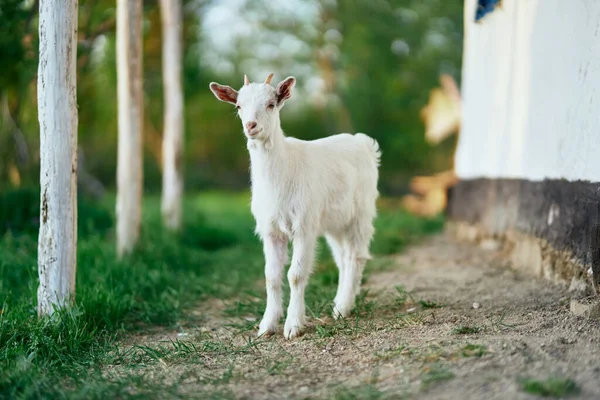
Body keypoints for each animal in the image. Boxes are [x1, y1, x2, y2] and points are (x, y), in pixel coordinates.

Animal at [210, 73, 380, 340]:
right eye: (238, 106)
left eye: (271, 104)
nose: (251, 126)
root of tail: (363, 143)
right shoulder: (270, 230)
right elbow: (271, 276)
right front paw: (267, 325)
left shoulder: (304, 226)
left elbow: (296, 275)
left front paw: (293, 325)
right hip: (334, 222)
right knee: (342, 257)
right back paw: (340, 304)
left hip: (360, 213)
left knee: (356, 255)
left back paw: (343, 308)